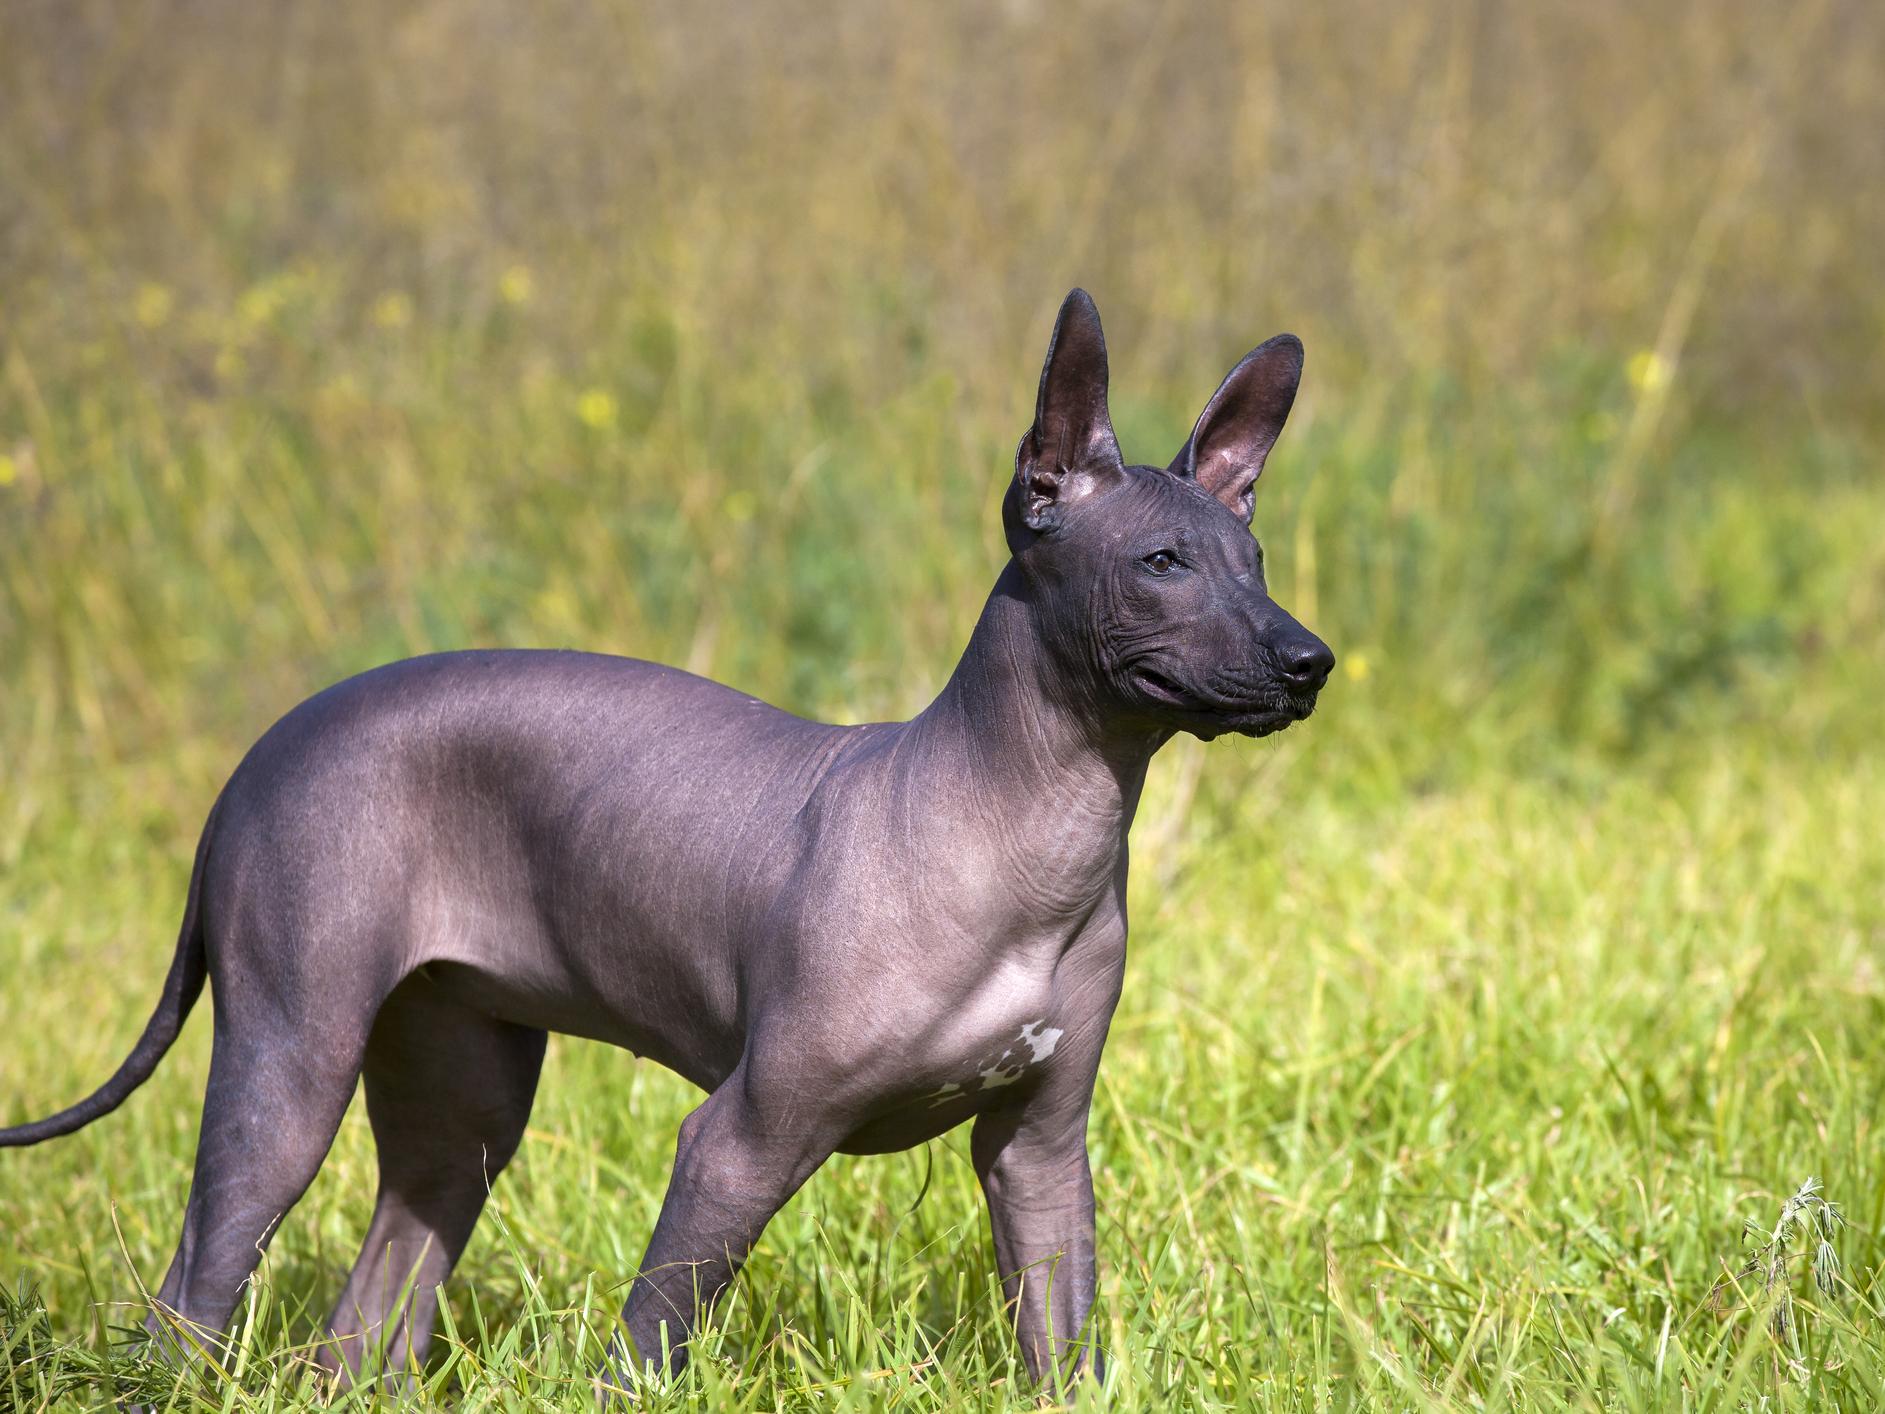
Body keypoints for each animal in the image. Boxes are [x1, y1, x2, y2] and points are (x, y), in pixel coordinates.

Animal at [0, 288, 1334, 1395]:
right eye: (1160, 563)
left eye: (1255, 562)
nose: (1307, 659)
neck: (1023, 831)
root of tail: (260, 754)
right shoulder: (738, 1141)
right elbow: (649, 1346)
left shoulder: (1041, 1151)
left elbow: (1060, 1342)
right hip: (289, 1064)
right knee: (189, 1296)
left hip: (461, 1102)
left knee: (369, 1311)